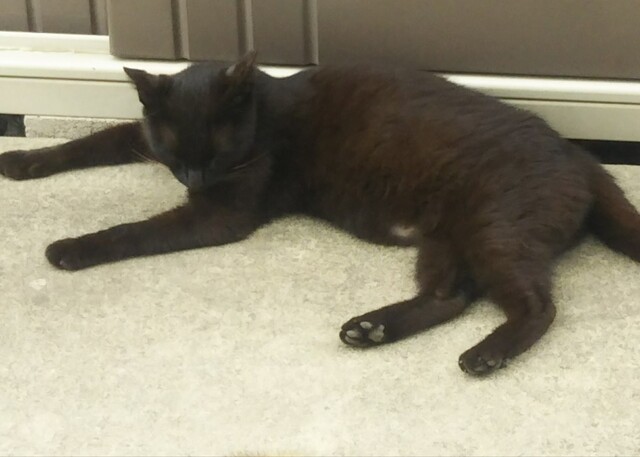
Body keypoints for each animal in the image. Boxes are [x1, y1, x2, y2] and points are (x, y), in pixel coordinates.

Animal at [1, 51, 639, 376]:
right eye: (176, 152)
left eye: (217, 153)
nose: (193, 180)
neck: (263, 109)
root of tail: (582, 158)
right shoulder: (141, 138)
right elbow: (90, 142)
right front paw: (21, 160)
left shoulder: (220, 215)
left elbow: (135, 231)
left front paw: (70, 248)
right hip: (446, 237)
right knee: (450, 296)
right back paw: (371, 329)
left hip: (495, 229)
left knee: (537, 305)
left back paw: (485, 354)